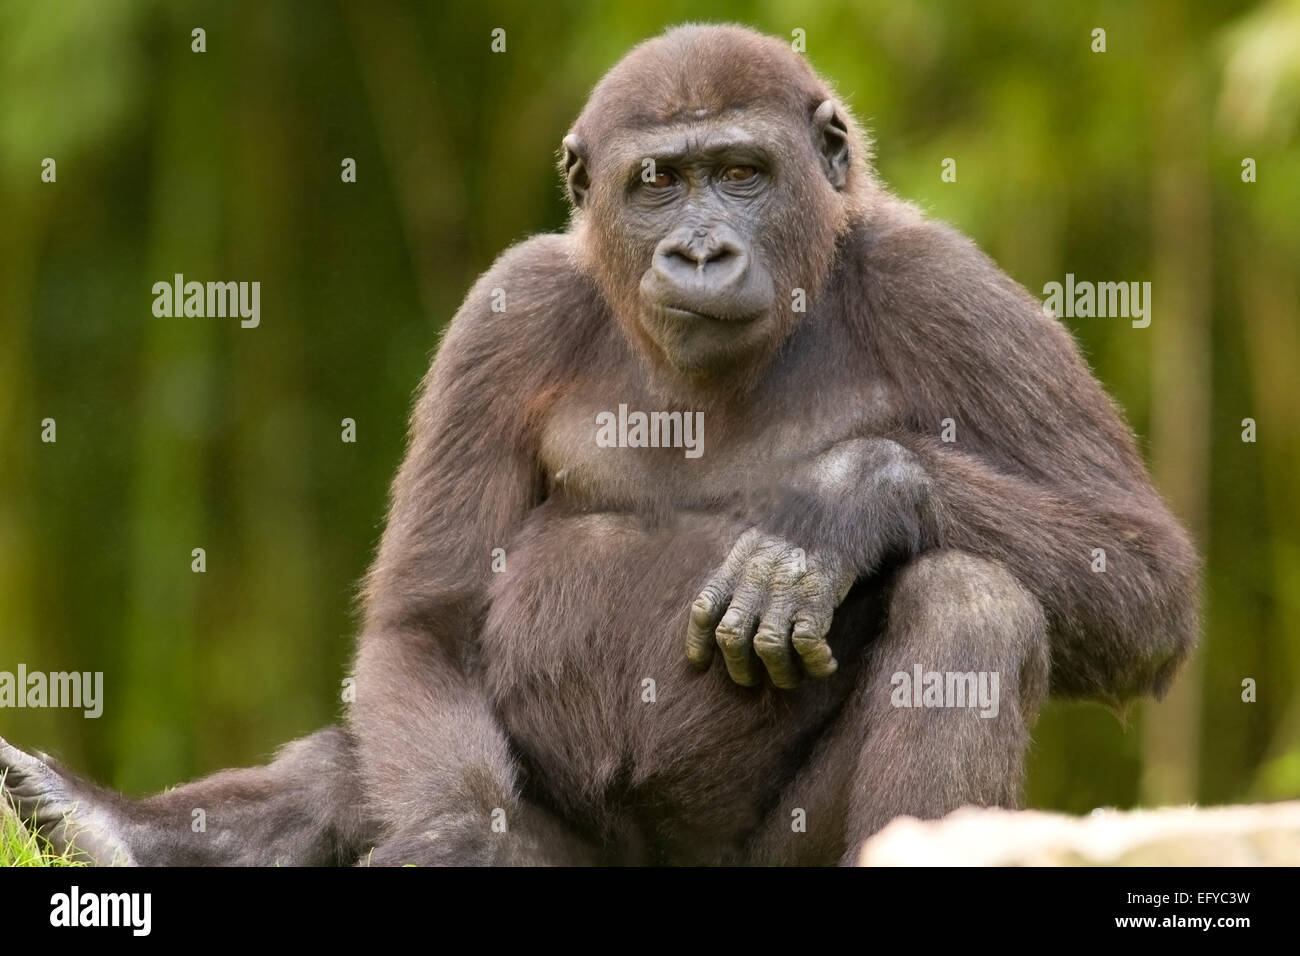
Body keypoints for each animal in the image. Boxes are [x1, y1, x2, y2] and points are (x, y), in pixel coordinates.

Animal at [0, 26, 1196, 868]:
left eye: (742, 172)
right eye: (657, 182)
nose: (701, 253)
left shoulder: (947, 289)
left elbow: (1143, 578)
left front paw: (847, 499)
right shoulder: (508, 309)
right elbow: (425, 622)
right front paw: (454, 838)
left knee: (972, 603)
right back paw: (118, 828)